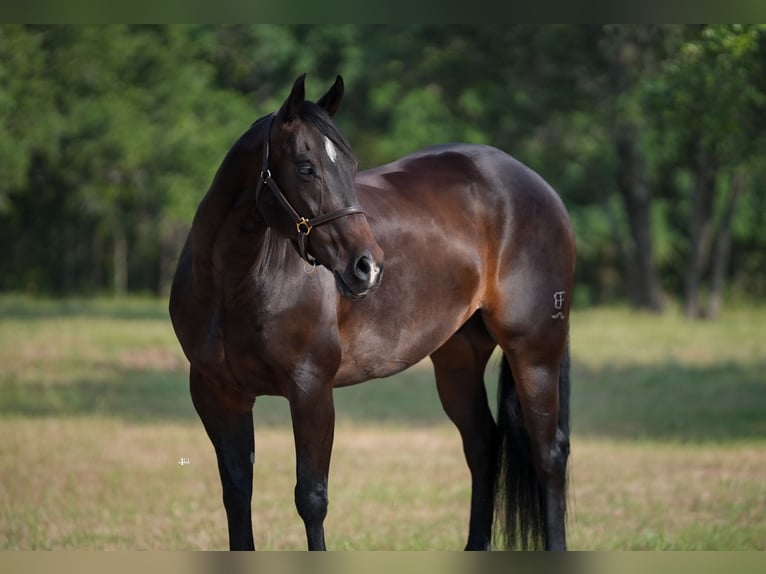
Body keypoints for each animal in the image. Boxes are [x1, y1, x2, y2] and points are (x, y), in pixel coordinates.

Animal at [170, 74, 576, 552]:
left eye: (351, 164)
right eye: (306, 167)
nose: (368, 266)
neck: (233, 284)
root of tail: (539, 187)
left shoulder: (310, 390)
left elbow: (311, 497)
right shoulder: (218, 395)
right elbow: (236, 492)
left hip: (534, 351)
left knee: (548, 454)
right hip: (458, 360)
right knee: (483, 444)